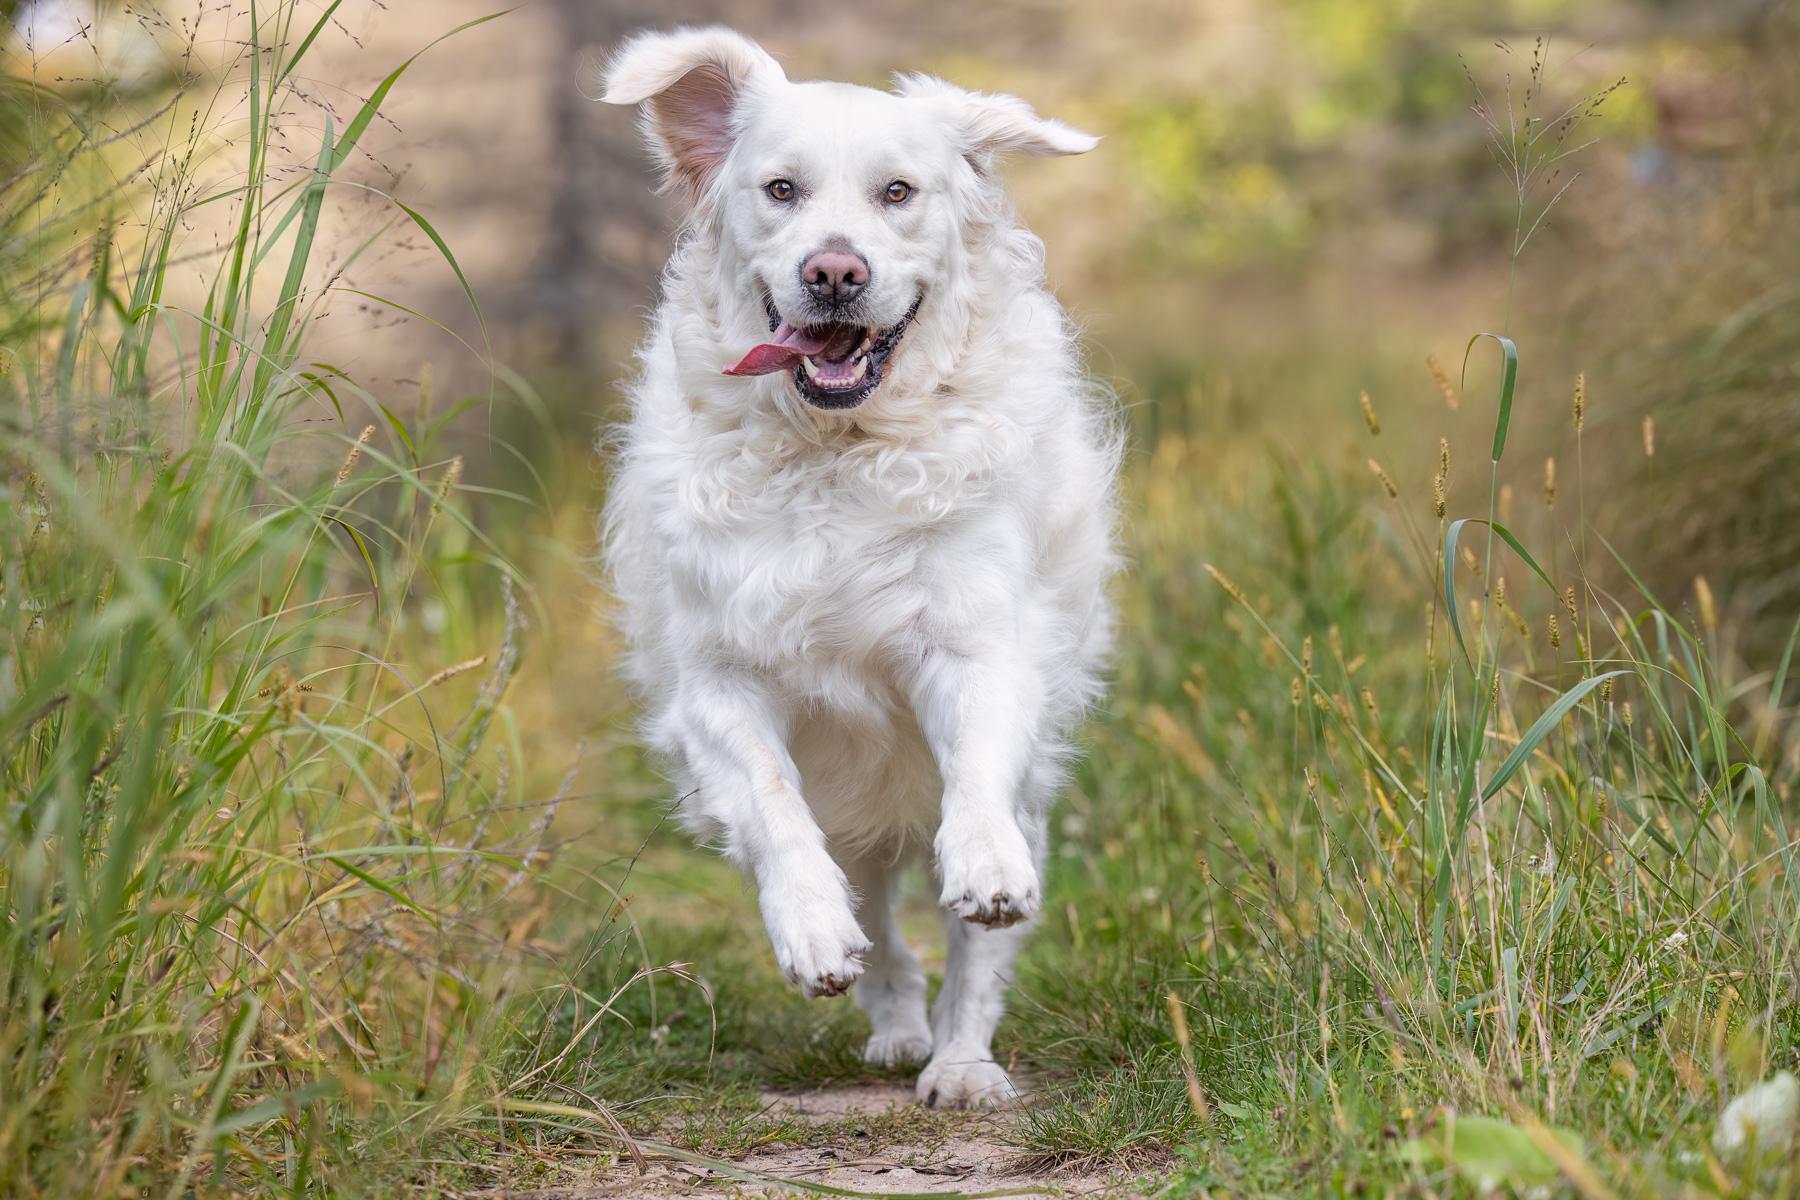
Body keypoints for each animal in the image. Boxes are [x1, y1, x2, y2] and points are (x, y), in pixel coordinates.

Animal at [597, 28, 1116, 1115]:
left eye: (897, 191)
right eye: (781, 189)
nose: (833, 272)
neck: (837, 451)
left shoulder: (975, 645)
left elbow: (977, 786)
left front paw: (983, 866)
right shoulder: (718, 684)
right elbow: (775, 810)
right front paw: (810, 933)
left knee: (970, 953)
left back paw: (959, 1062)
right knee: (879, 920)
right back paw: (893, 1021)